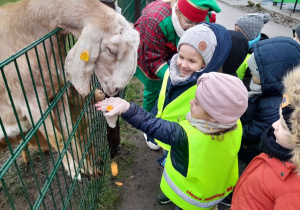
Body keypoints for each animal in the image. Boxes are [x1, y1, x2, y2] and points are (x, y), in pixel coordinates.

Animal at [0, 0, 140, 180]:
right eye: (112, 50)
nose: (117, 89)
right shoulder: (29, 102)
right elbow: (57, 137)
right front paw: (73, 170)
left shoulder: (58, 94)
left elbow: (69, 132)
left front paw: (86, 167)